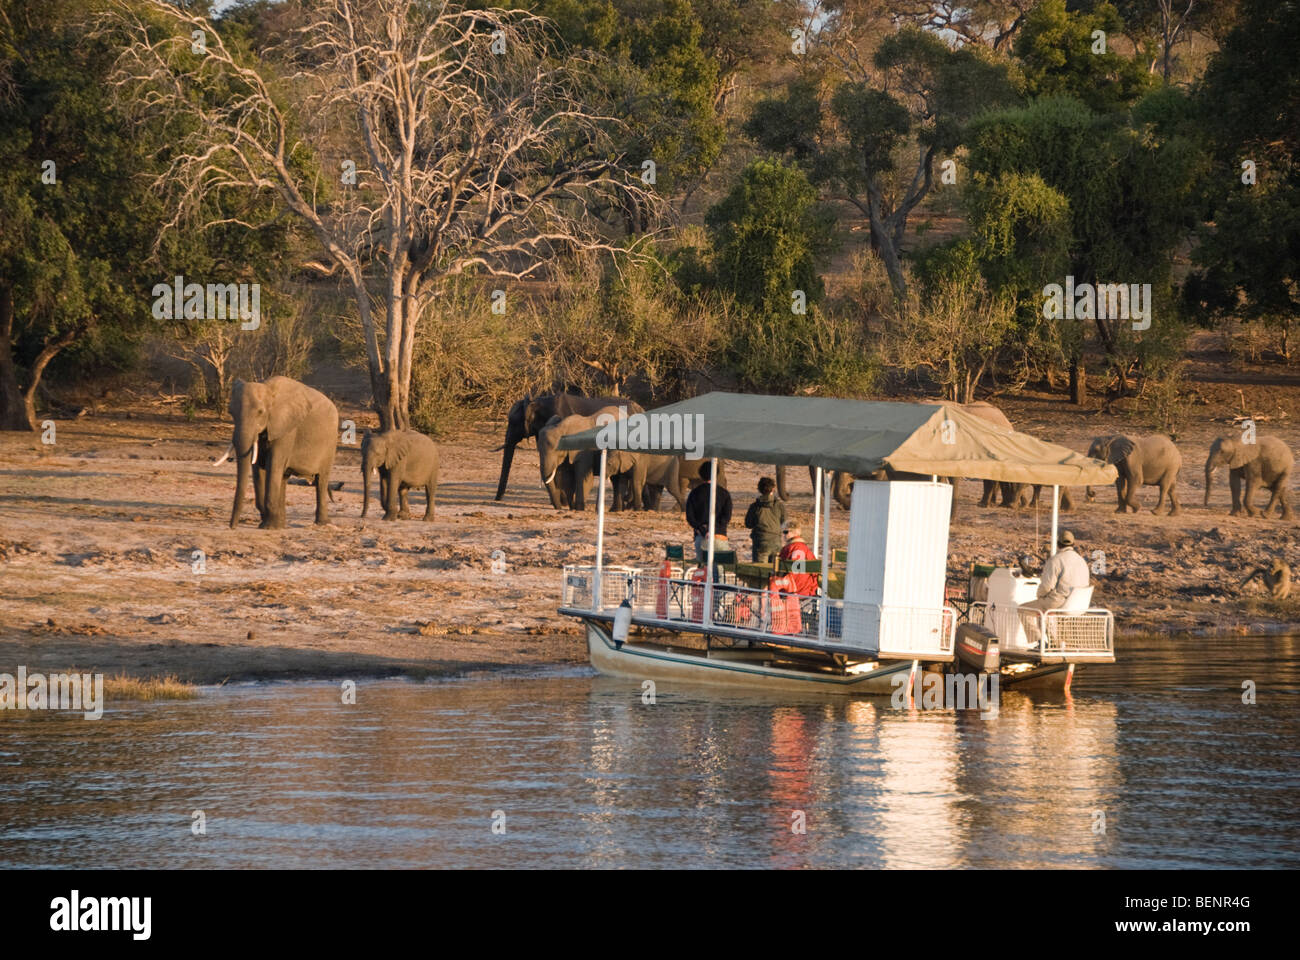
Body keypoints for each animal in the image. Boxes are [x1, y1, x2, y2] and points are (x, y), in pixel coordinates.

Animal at [215, 376, 338, 529]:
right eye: (231, 412)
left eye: (260, 412)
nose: (232, 527)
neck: (268, 390)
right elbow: (258, 468)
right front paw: (269, 524)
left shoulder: (287, 428)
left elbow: (273, 464)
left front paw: (268, 526)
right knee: (284, 477)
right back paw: (282, 524)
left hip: (330, 445)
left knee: (321, 479)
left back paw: (322, 524)